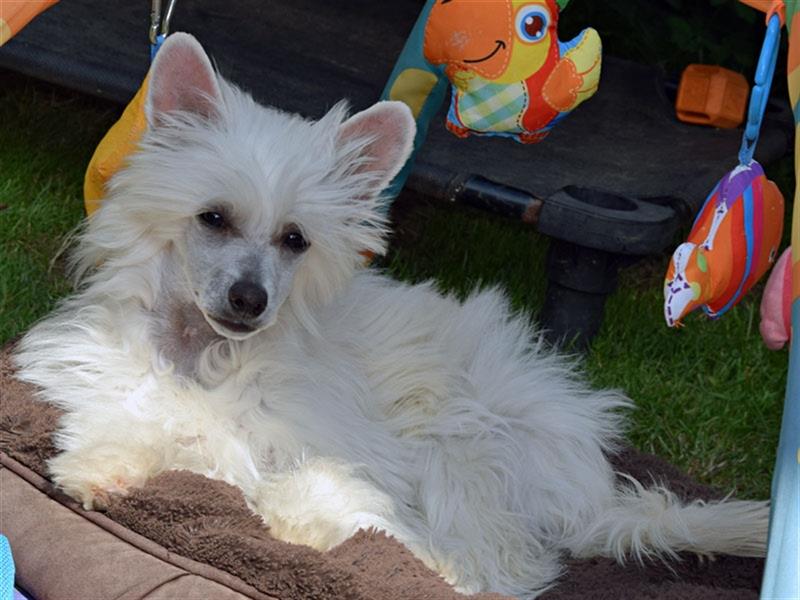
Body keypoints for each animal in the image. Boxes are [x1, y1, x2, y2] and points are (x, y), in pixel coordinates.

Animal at [15, 34, 768, 600]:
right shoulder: (116, 386)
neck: (205, 356)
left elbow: (301, 483)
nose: (250, 300)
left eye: (296, 240)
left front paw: (310, 522)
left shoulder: (341, 451)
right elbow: (137, 424)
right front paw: (100, 467)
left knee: (500, 563)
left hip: (461, 439)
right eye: (214, 219)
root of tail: (590, 498)